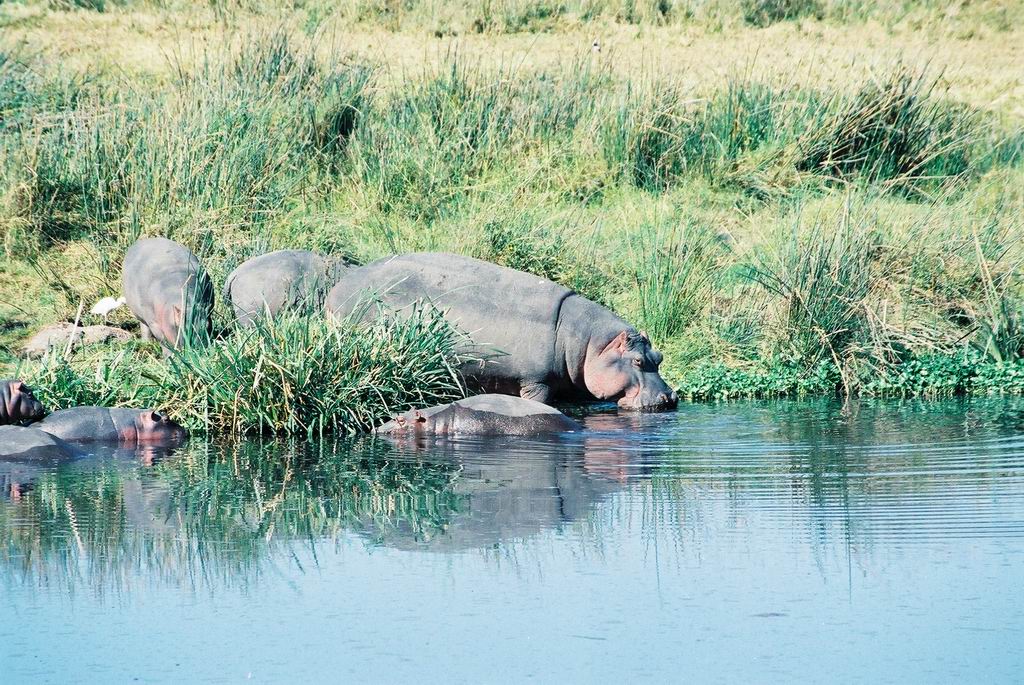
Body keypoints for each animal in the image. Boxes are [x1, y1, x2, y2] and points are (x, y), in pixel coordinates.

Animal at [326, 253, 678, 411]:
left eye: (659, 356)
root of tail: (338, 288)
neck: (591, 344)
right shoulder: (536, 382)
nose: (670, 397)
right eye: (637, 361)